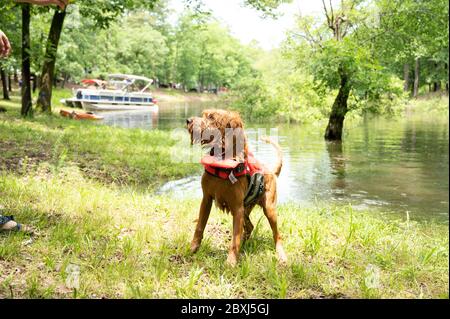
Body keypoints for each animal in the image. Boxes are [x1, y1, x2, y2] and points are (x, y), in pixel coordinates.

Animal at [187, 109, 288, 266]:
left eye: (211, 117)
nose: (188, 121)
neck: (221, 163)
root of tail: (271, 171)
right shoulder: (206, 200)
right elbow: (199, 227)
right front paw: (193, 248)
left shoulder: (237, 209)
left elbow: (235, 238)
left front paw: (231, 261)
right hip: (246, 209)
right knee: (250, 227)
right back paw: (245, 246)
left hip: (269, 209)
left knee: (277, 235)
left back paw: (281, 255)